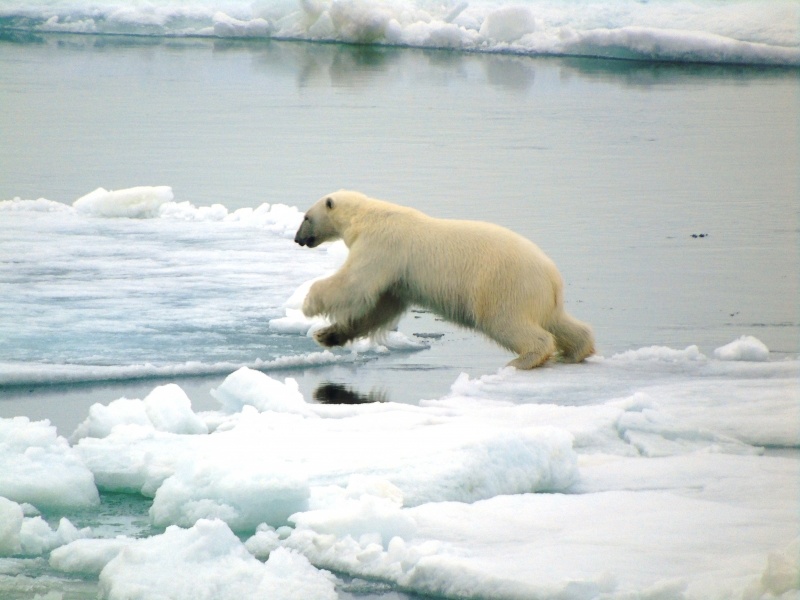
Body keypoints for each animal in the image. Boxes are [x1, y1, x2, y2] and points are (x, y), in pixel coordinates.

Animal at [294, 192, 592, 368]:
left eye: (306, 217)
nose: (297, 239)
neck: (366, 217)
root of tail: (552, 277)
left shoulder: (381, 245)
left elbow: (355, 284)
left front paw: (308, 304)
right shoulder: (399, 277)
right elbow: (380, 308)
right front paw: (327, 335)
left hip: (505, 286)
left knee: (509, 323)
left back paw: (523, 360)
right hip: (540, 296)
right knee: (559, 322)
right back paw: (576, 351)